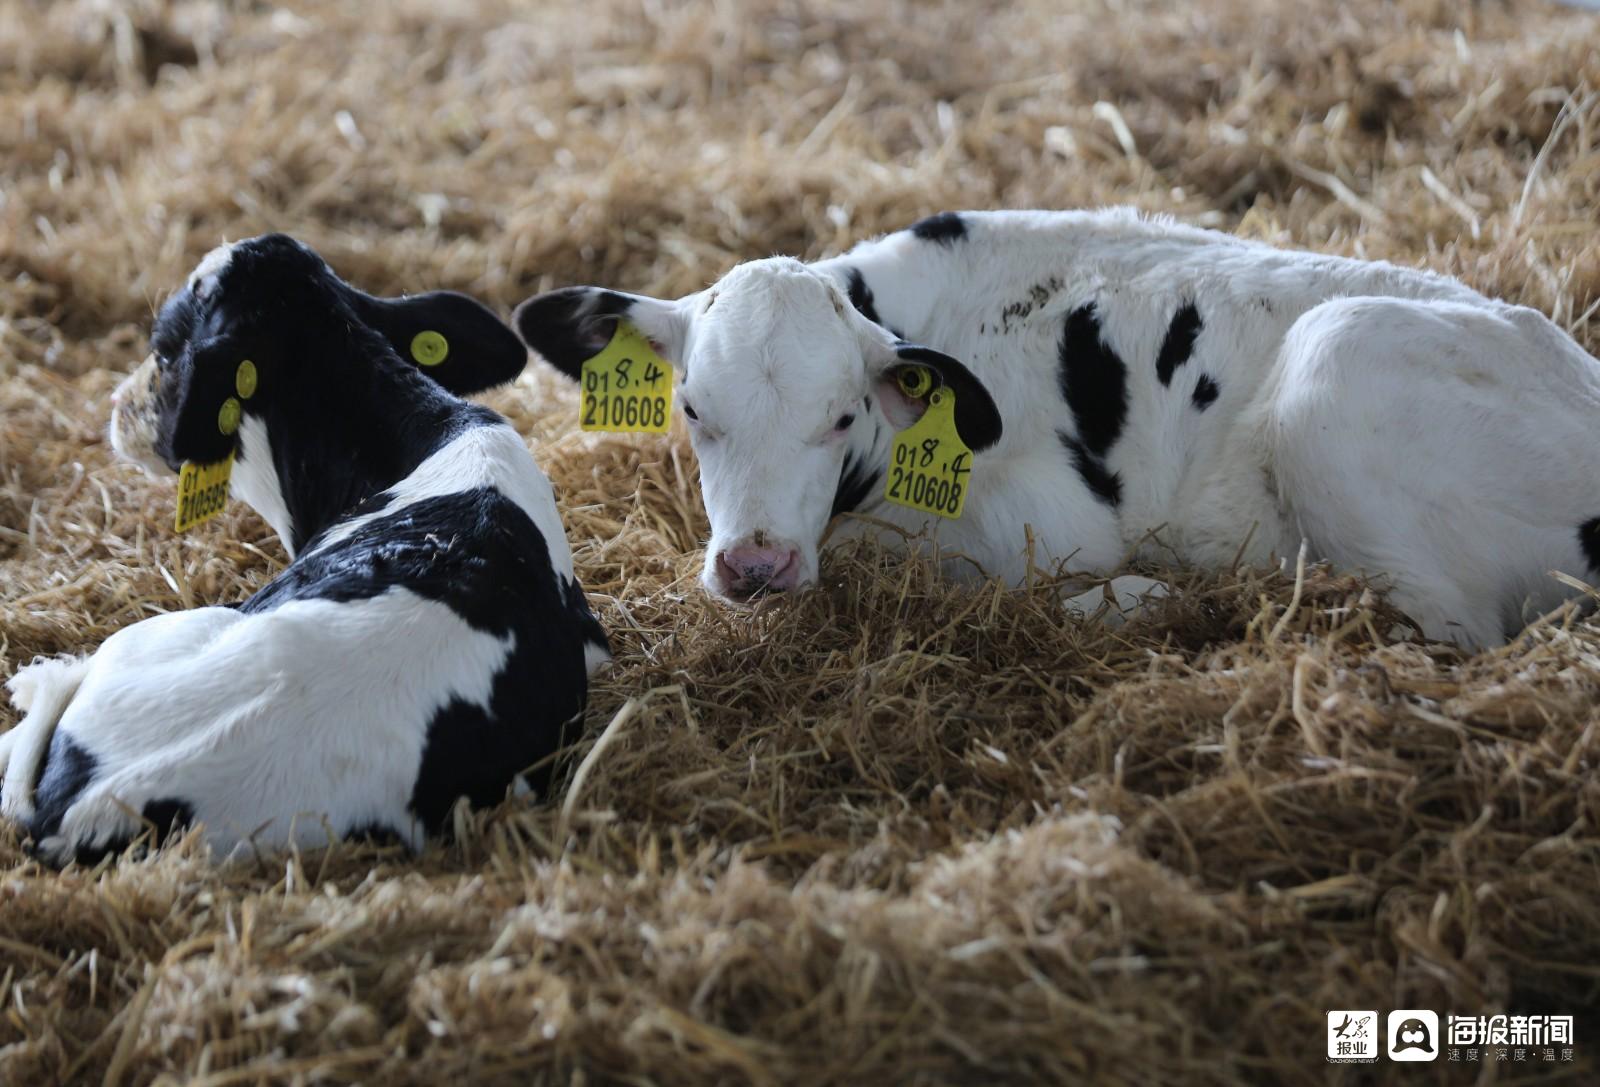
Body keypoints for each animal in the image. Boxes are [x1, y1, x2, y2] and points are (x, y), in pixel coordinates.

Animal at [515, 209, 1600, 646]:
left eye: (841, 414)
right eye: (695, 409)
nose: (755, 564)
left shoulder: (1043, 526)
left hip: (1336, 364)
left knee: (1447, 629)